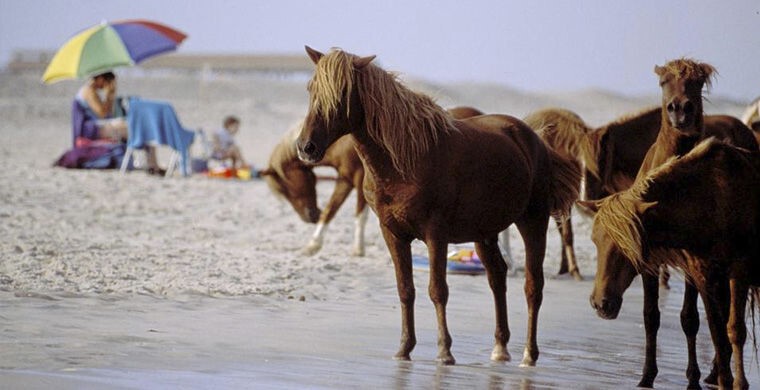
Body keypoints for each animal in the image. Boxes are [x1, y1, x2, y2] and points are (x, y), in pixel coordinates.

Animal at [294, 46, 580, 366]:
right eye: (310, 89)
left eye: (341, 93)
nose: (306, 147)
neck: (404, 161)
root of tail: (533, 138)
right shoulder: (393, 234)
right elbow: (405, 289)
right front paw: (404, 348)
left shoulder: (436, 235)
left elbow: (437, 290)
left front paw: (444, 352)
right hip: (484, 233)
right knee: (497, 277)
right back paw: (500, 347)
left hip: (533, 222)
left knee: (533, 286)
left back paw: (529, 355)